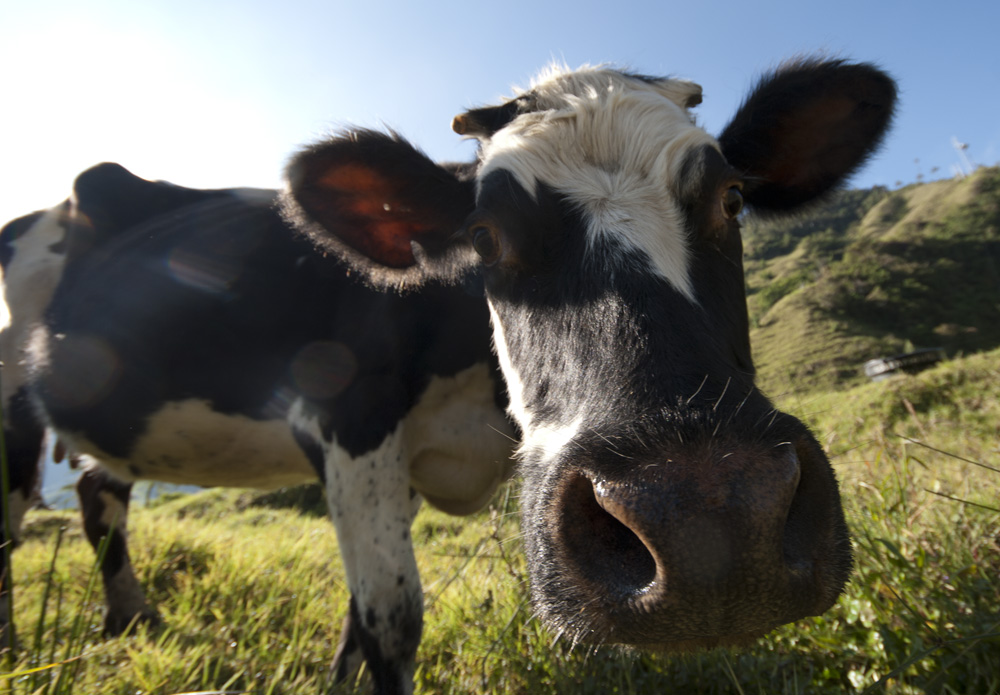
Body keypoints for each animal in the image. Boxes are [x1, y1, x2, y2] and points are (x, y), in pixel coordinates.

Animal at [2, 57, 895, 695]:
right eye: (484, 233)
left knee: (98, 494)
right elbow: (391, 619)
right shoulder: (349, 418)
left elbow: (358, 618)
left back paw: (130, 617)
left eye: (733, 198)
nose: (709, 525)